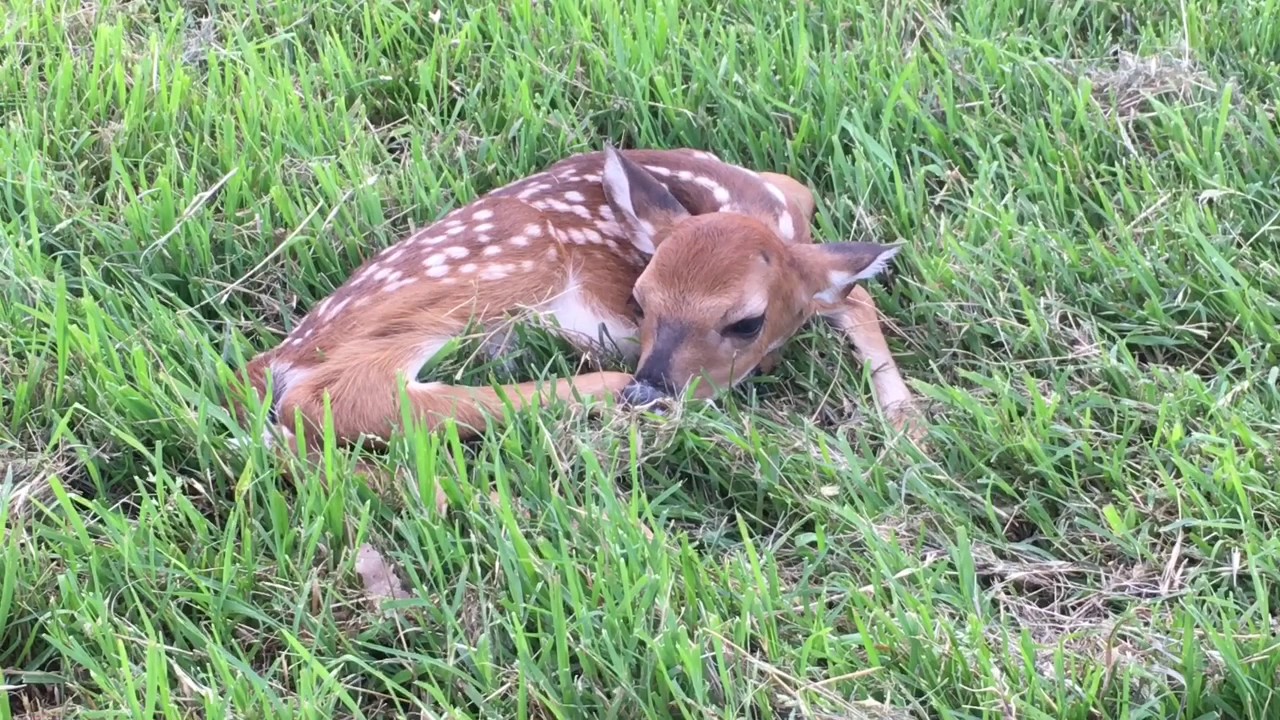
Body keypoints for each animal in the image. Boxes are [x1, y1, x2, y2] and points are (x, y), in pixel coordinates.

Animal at [225, 144, 926, 478]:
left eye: (745, 321)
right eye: (641, 297)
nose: (651, 389)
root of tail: (272, 360)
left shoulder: (797, 203)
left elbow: (854, 294)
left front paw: (907, 428)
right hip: (503, 269)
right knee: (339, 394)